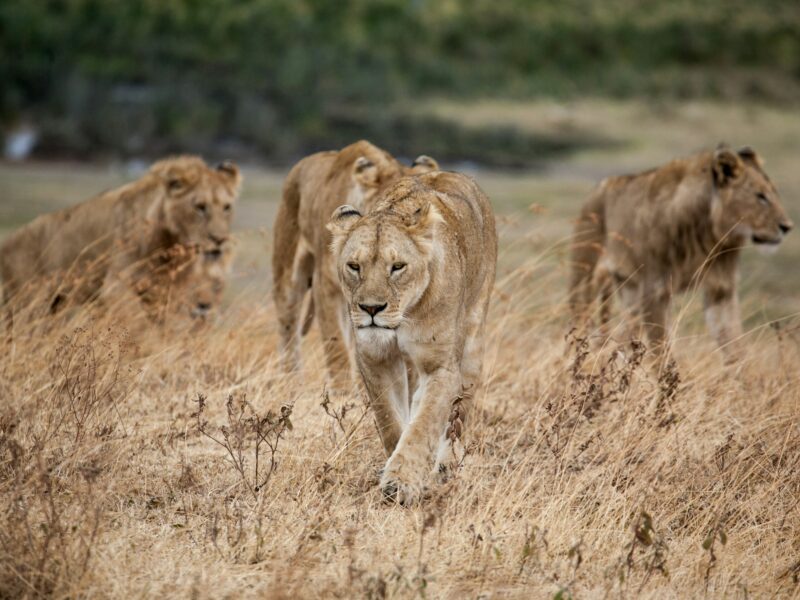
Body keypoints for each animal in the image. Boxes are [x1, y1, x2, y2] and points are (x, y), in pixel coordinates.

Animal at [0, 154, 241, 324]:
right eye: (199, 207)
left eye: (227, 207)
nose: (220, 239)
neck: (169, 245)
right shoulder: (116, 288)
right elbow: (139, 330)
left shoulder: (163, 294)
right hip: (28, 305)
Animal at [274, 140, 438, 390]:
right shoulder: (327, 288)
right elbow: (336, 348)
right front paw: (343, 394)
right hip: (287, 275)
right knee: (289, 329)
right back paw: (290, 382)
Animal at [324, 171, 494, 504]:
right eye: (354, 266)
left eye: (398, 267)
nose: (371, 309)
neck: (404, 317)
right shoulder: (375, 357)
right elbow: (390, 420)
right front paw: (394, 465)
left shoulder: (441, 367)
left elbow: (424, 425)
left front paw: (400, 483)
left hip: (473, 343)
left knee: (458, 417)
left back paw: (446, 467)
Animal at [572, 147, 792, 358]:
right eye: (760, 196)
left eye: (774, 194)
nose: (787, 227)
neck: (708, 235)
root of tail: (598, 187)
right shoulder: (655, 291)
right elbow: (662, 354)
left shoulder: (721, 289)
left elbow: (735, 347)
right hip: (586, 278)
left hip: (629, 290)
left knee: (623, 337)